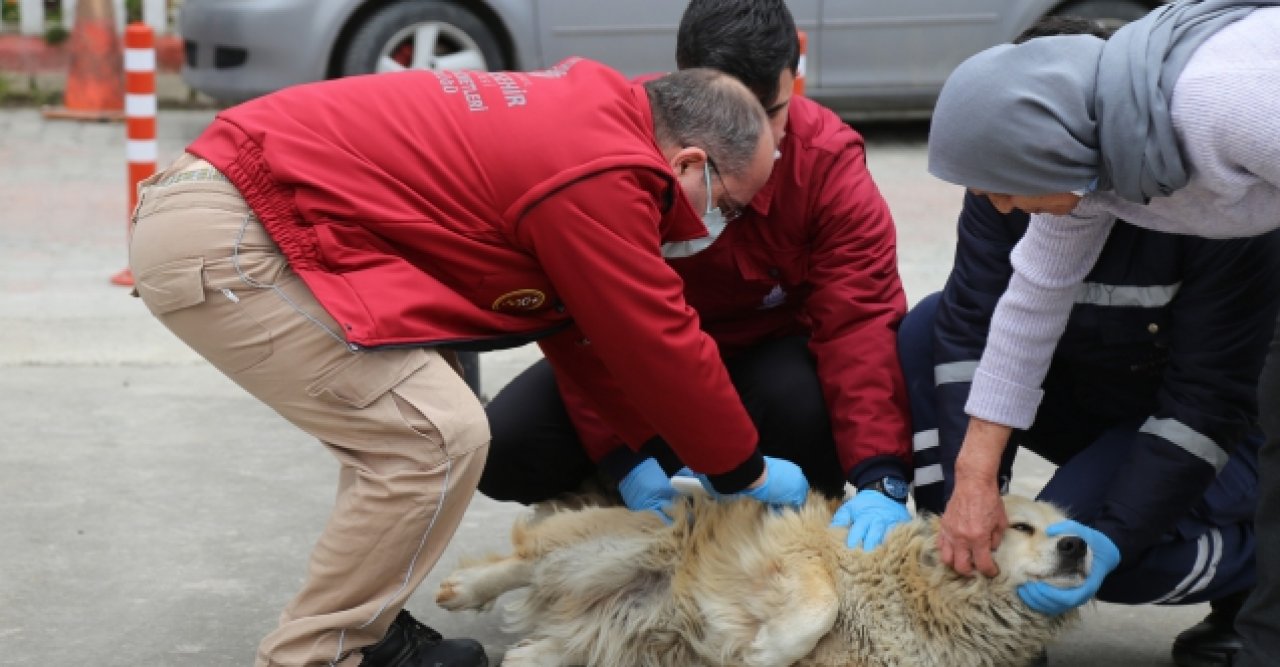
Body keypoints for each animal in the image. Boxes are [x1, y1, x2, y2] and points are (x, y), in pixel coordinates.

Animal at [435, 491, 1085, 660]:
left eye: (1070, 527)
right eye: (1021, 527)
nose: (1079, 545)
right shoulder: (800, 550)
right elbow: (818, 606)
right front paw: (766, 651)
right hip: (630, 547)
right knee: (525, 560)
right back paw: (464, 589)